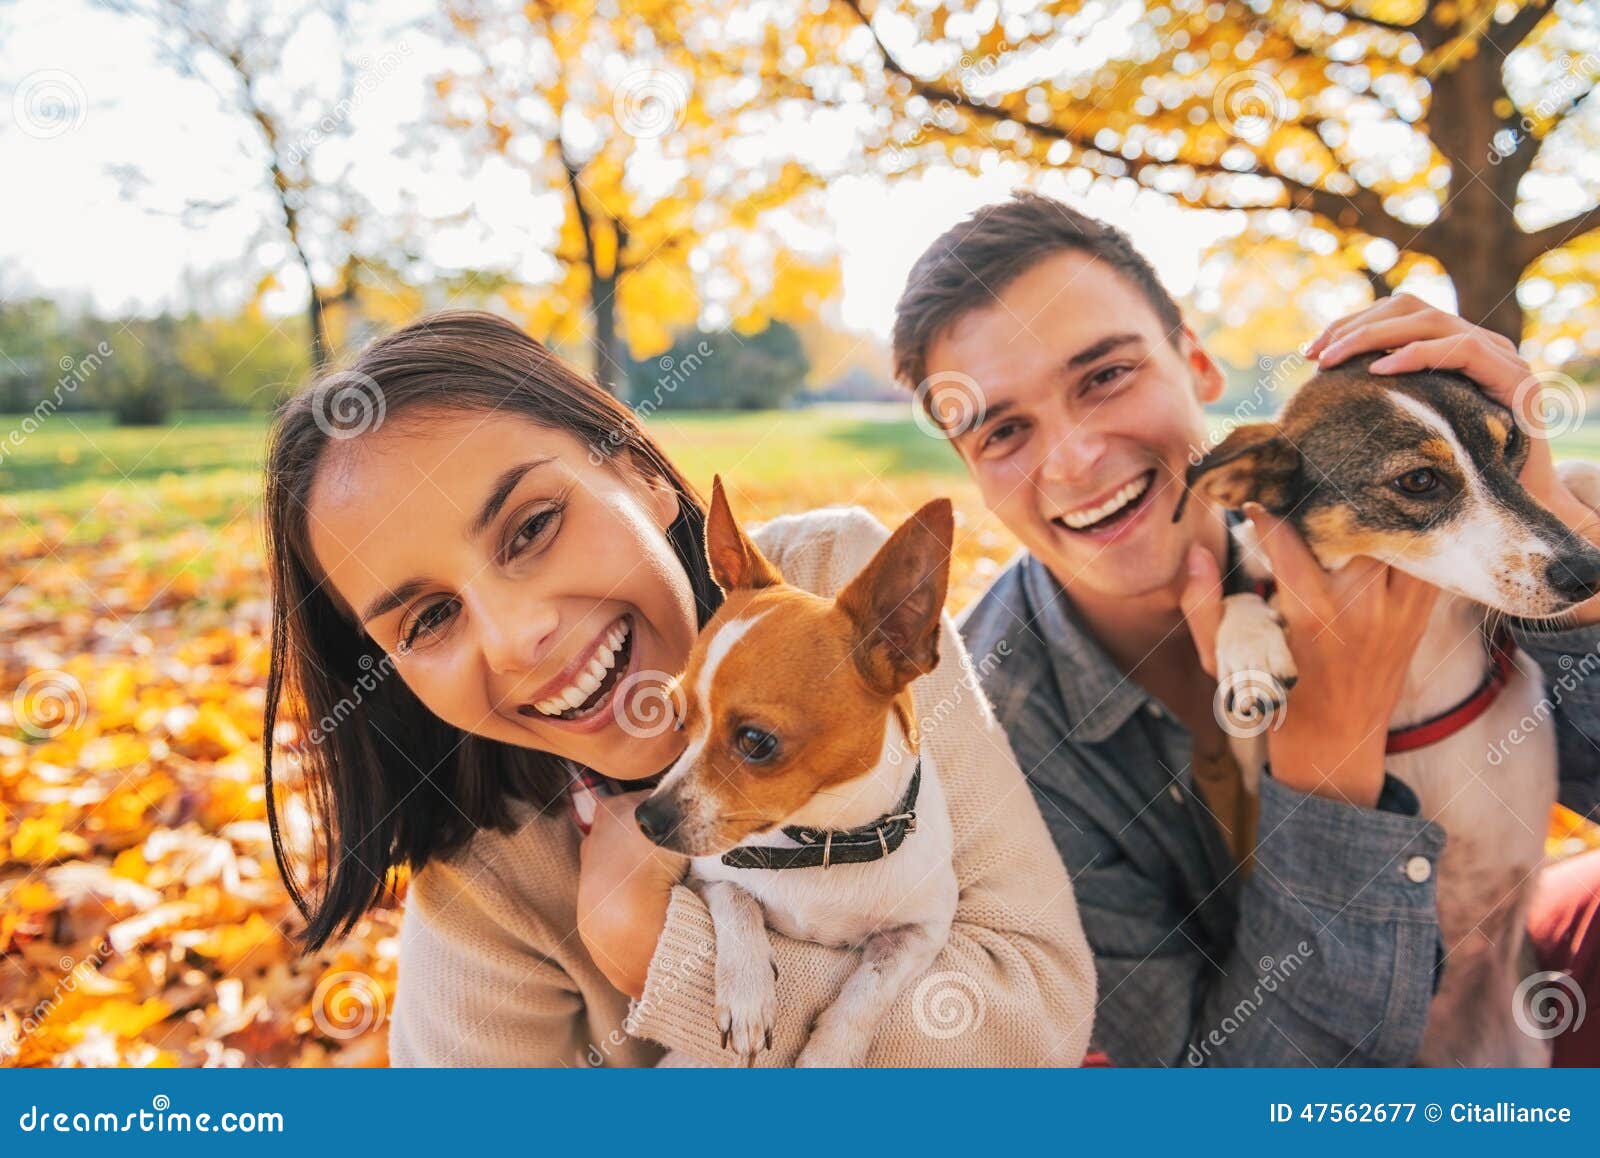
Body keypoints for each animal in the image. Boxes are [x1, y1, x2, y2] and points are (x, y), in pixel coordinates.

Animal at [633, 479, 960, 1068]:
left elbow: (864, 994)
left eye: (756, 742)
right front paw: (747, 995)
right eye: (676, 717)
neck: (823, 840)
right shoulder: (710, 875)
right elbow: (739, 903)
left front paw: (828, 1055)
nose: (647, 818)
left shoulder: (921, 932)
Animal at [1184, 353, 1600, 1068]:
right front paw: (1250, 654)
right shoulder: (1249, 775)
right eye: (1419, 481)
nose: (1587, 574)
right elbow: (1243, 597)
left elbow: (1573, 477)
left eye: (1511, 448)